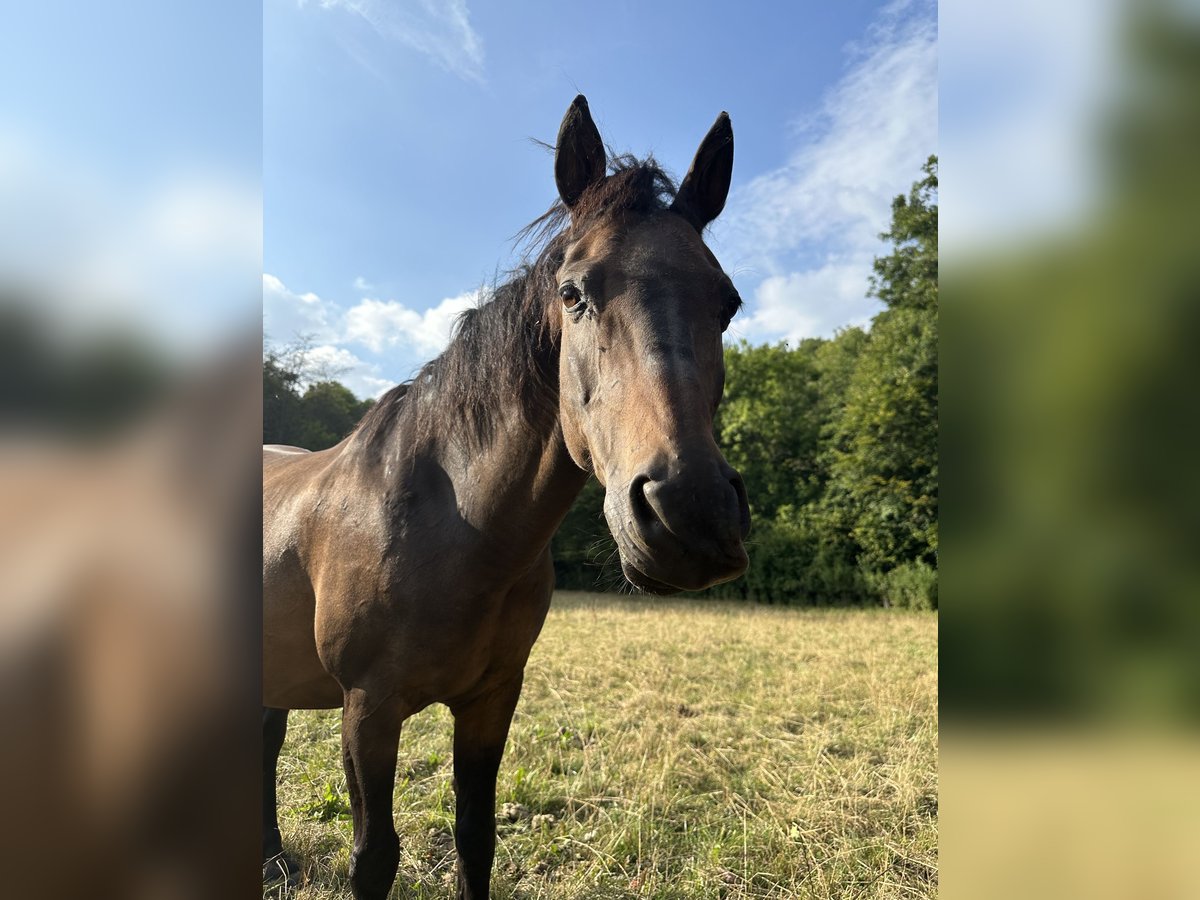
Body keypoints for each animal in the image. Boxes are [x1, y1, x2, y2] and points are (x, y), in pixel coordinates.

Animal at [264, 97, 748, 900]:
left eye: (728, 304)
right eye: (572, 293)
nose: (692, 515)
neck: (454, 526)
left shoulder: (492, 700)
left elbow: (475, 839)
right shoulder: (367, 710)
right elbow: (375, 857)